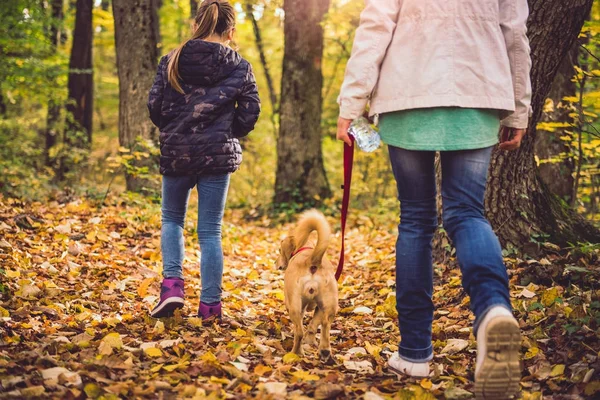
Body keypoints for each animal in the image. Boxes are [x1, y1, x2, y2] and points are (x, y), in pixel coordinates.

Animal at [276, 209, 338, 360]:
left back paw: (296, 353)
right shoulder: (319, 308)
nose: (276, 263)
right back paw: (324, 350)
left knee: (299, 332)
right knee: (325, 325)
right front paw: (310, 341)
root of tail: (312, 260)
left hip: (294, 306)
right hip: (329, 306)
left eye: (280, 251)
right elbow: (313, 325)